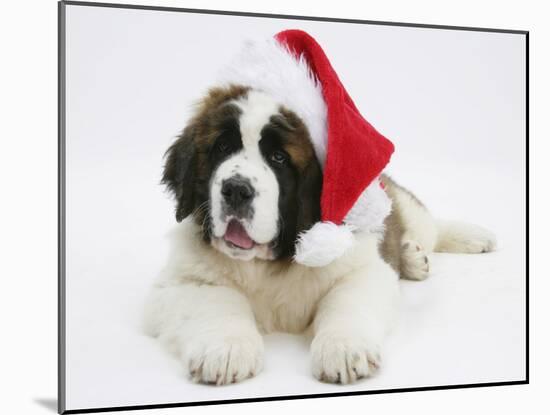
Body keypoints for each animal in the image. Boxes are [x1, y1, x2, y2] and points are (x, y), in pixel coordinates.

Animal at [143, 83, 500, 386]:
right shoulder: (180, 281)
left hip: (404, 207)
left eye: (278, 158)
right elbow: (217, 301)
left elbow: (345, 301)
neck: (270, 262)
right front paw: (226, 349)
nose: (236, 190)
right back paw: (413, 257)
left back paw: (470, 237)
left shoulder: (361, 268)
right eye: (222, 147)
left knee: (430, 225)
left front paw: (343, 348)